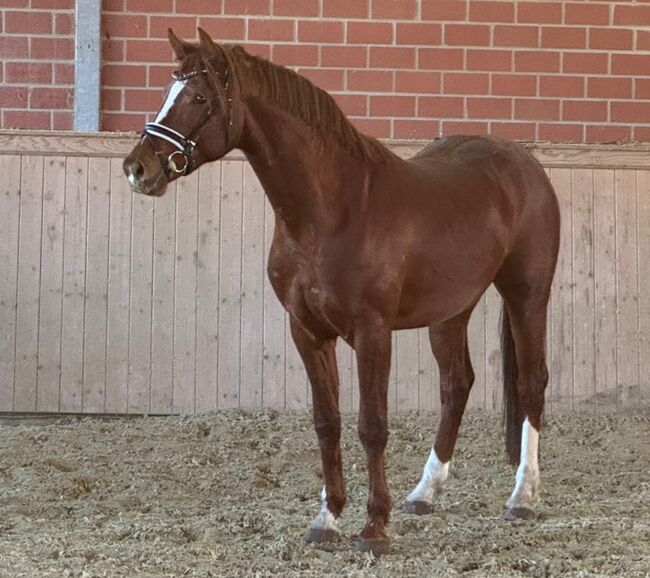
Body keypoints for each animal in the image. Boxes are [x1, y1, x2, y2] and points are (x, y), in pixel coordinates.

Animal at [123, 28, 560, 556]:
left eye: (199, 98)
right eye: (168, 92)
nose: (138, 168)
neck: (332, 210)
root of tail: (524, 163)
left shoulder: (372, 333)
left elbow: (371, 426)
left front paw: (374, 528)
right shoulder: (308, 331)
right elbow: (326, 422)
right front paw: (327, 519)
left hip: (527, 294)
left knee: (531, 382)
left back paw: (523, 497)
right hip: (451, 311)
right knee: (456, 385)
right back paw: (424, 493)